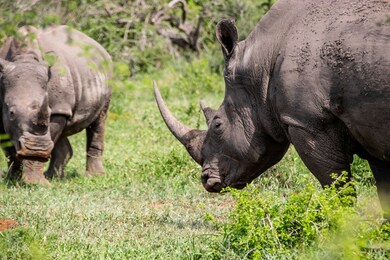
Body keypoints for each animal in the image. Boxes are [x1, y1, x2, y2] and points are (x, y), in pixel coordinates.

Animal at [0, 25, 112, 185]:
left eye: (48, 110)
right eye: (11, 112)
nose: (33, 149)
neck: (24, 59)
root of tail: (99, 47)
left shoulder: (58, 109)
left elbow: (50, 135)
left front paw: (34, 182)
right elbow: (9, 149)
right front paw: (12, 179)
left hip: (106, 73)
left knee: (99, 119)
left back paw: (94, 176)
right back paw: (55, 177)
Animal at [155, 0, 390, 218]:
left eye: (217, 124)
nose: (205, 180)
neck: (261, 65)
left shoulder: (306, 123)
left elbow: (336, 187)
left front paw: (343, 229)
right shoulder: (370, 129)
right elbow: (383, 189)